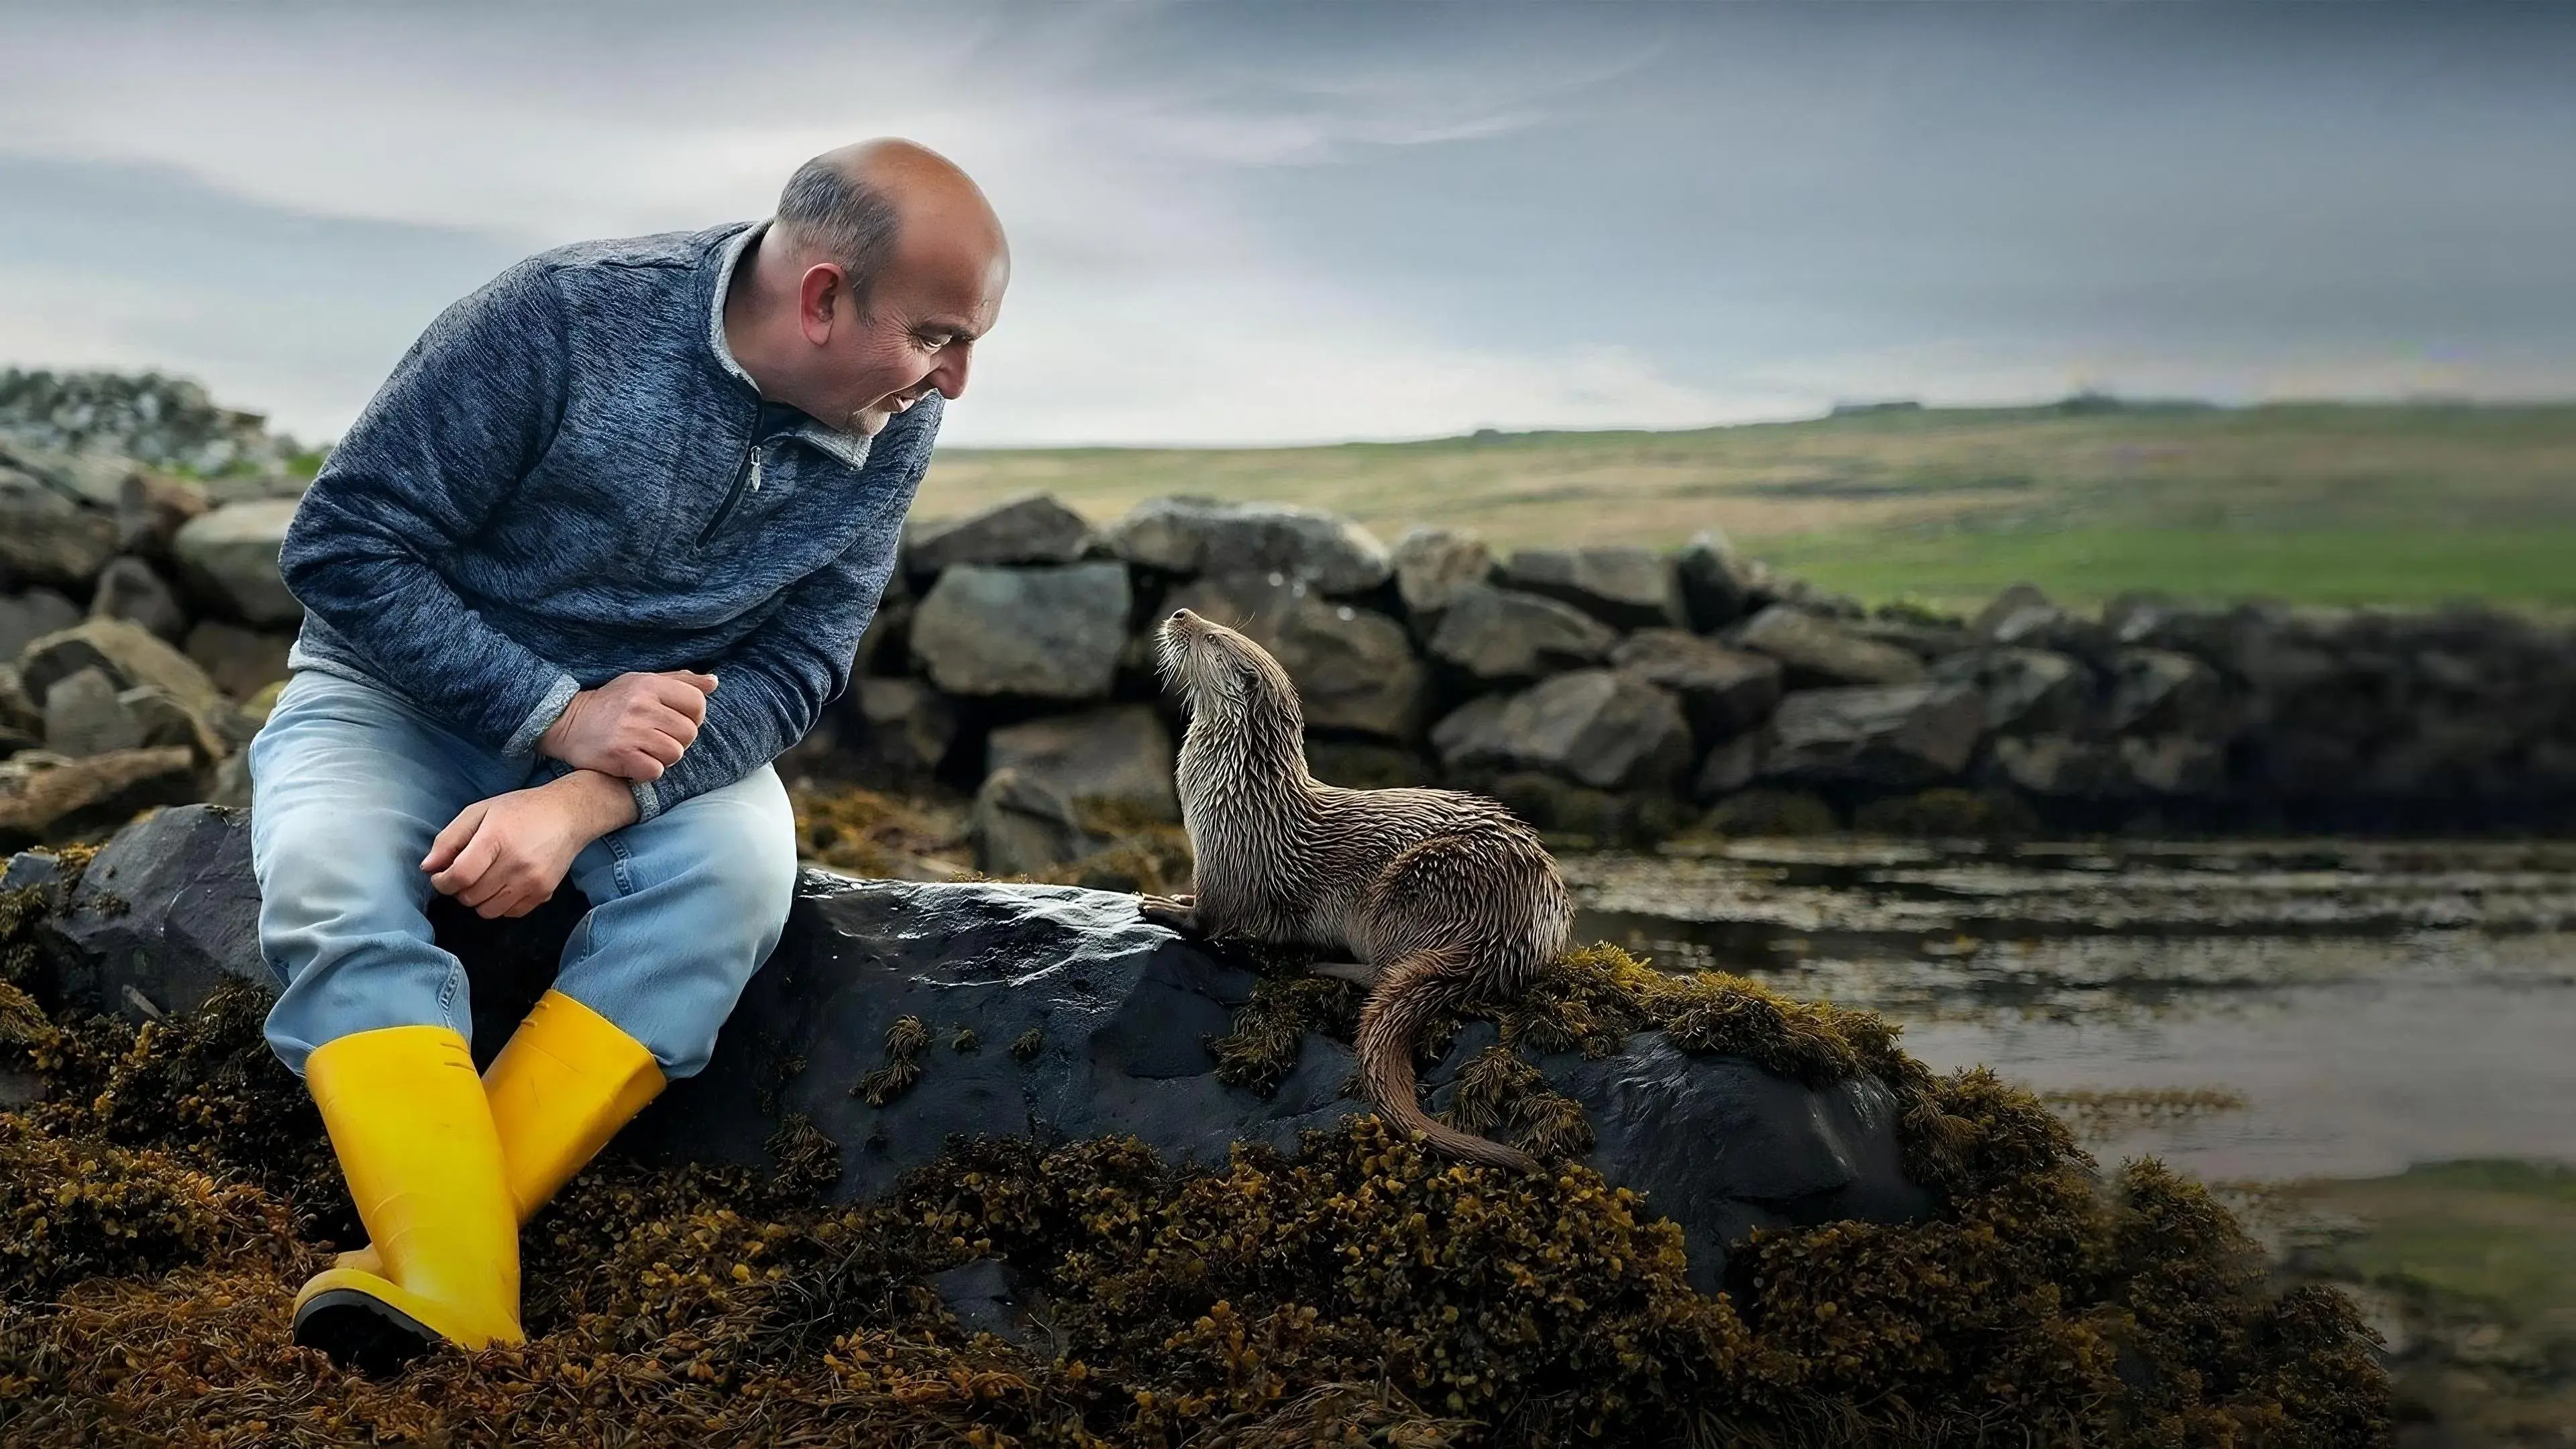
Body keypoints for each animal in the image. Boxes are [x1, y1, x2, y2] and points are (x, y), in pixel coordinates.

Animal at [1143, 607, 1573, 1173]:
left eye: (1214, 638)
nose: (1180, 614)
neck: (1239, 791)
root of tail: (1517, 933)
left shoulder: (1229, 857)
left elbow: (1210, 919)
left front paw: (1163, 906)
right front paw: (1175, 896)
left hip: (1413, 883)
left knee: (1383, 968)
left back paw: (1324, 964)